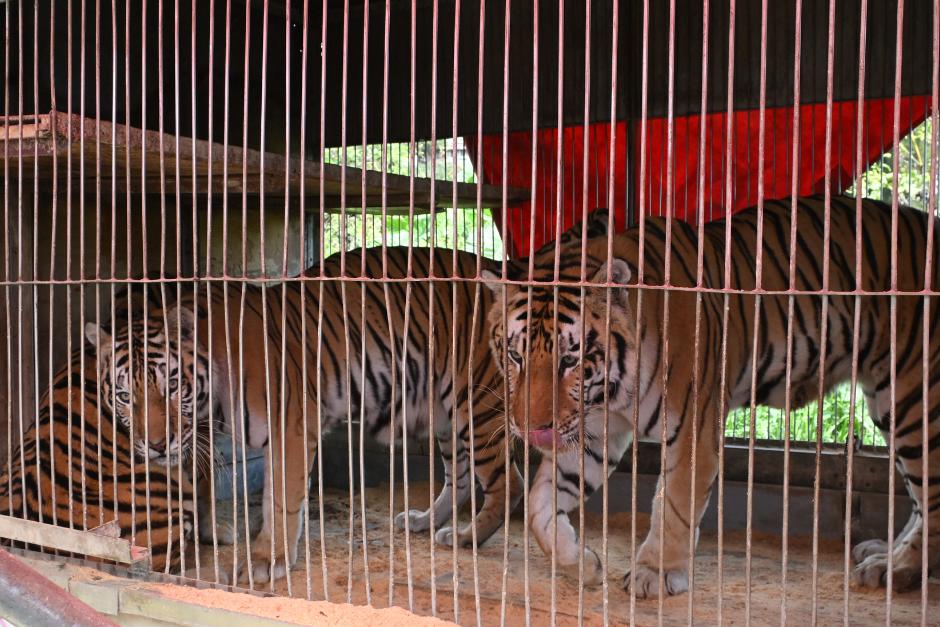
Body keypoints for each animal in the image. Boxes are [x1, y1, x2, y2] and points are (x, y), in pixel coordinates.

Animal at [482, 195, 940, 598]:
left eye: (570, 359)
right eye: (515, 355)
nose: (532, 429)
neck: (609, 392)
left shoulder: (691, 431)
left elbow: (673, 505)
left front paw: (654, 572)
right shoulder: (593, 431)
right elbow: (540, 505)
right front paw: (582, 564)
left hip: (913, 398)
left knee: (932, 498)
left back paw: (897, 568)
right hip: (889, 403)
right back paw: (882, 554)